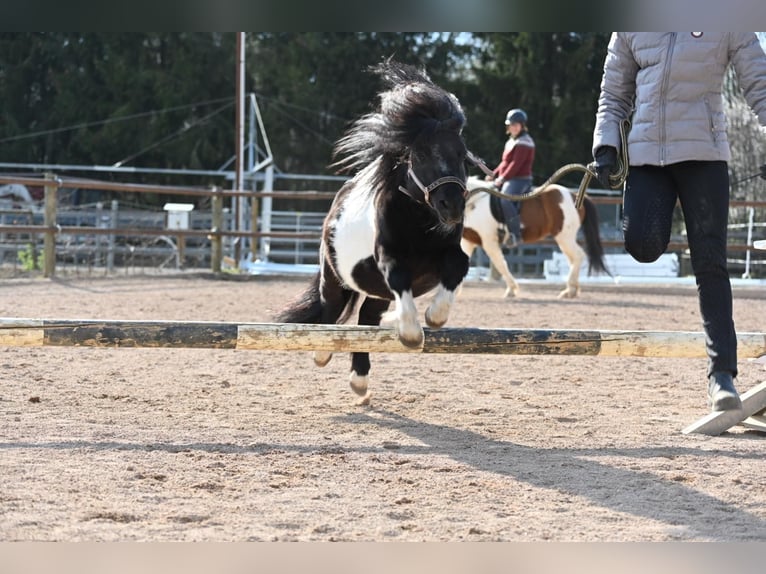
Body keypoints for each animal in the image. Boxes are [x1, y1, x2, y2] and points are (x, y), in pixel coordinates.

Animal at [280, 62, 476, 404]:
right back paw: (322, 352)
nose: (451, 206)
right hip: (334, 278)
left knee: (367, 319)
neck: (419, 222)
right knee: (331, 310)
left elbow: (458, 265)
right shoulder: (387, 257)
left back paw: (360, 379)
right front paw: (410, 333)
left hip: (375, 293)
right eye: (420, 155)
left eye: (462, 155)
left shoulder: (446, 253)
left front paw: (434, 316)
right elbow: (399, 275)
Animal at [462, 176, 612, 300]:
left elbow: (501, 264)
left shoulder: (488, 241)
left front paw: (511, 290)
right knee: (573, 259)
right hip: (565, 238)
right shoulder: (468, 241)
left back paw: (569, 291)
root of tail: (575, 195)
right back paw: (572, 290)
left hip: (564, 237)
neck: (474, 202)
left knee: (578, 256)